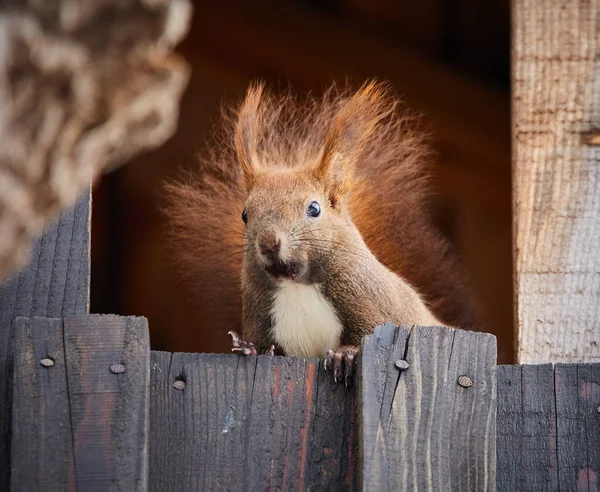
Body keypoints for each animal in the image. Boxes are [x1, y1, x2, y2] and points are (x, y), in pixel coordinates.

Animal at [163, 80, 482, 384]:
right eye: (245, 215)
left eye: (314, 209)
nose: (268, 243)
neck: (297, 286)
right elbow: (263, 345)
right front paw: (249, 348)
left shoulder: (375, 307)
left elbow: (363, 336)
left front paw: (345, 356)